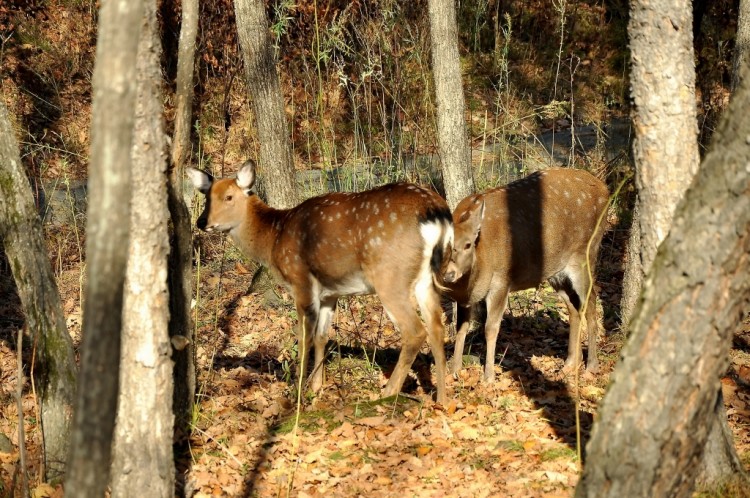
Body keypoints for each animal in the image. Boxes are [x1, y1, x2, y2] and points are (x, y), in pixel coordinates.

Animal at [191, 161, 456, 402]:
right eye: (206, 198)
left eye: (228, 197)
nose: (201, 222)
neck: (274, 238)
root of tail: (436, 214)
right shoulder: (330, 293)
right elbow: (322, 336)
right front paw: (317, 386)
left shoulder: (300, 280)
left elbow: (304, 337)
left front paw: (297, 390)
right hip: (427, 277)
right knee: (437, 327)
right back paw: (442, 400)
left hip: (390, 276)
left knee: (415, 331)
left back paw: (387, 394)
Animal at [446, 167, 612, 382]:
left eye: (467, 244)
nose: (449, 274)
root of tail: (605, 190)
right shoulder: (466, 296)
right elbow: (461, 327)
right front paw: (454, 370)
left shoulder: (502, 280)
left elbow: (490, 328)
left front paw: (488, 377)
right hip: (556, 272)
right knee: (574, 308)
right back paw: (569, 363)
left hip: (586, 255)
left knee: (591, 304)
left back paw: (591, 366)